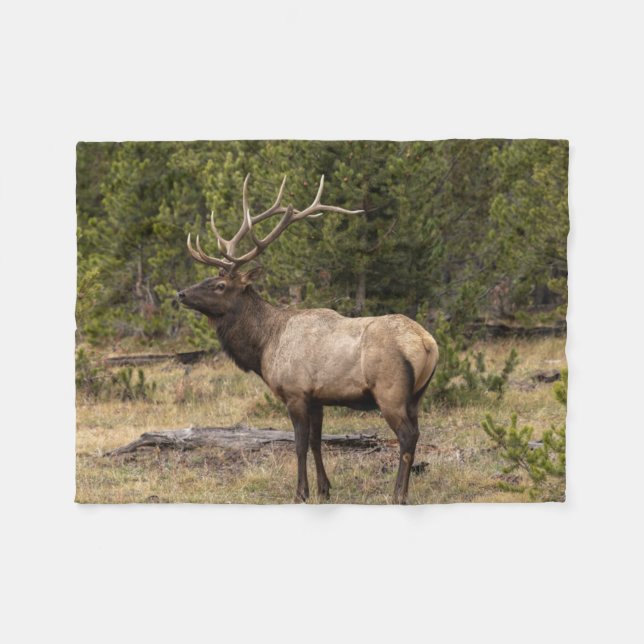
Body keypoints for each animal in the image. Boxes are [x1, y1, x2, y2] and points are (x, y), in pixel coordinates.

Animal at [177, 175, 439, 504]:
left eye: (220, 285)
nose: (181, 293)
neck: (264, 346)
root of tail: (428, 343)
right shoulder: (317, 397)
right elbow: (316, 441)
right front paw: (324, 489)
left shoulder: (295, 392)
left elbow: (299, 444)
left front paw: (301, 492)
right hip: (417, 395)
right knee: (416, 433)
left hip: (390, 391)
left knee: (407, 436)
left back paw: (397, 495)